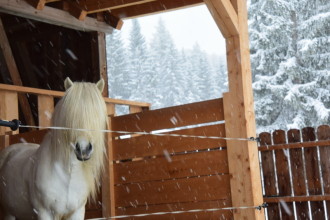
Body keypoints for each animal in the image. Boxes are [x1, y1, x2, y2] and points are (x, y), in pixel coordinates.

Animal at [0, 78, 108, 219]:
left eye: (96, 114)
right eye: (70, 116)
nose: (83, 149)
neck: (68, 176)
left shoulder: (77, 212)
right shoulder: (44, 212)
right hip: (8, 212)